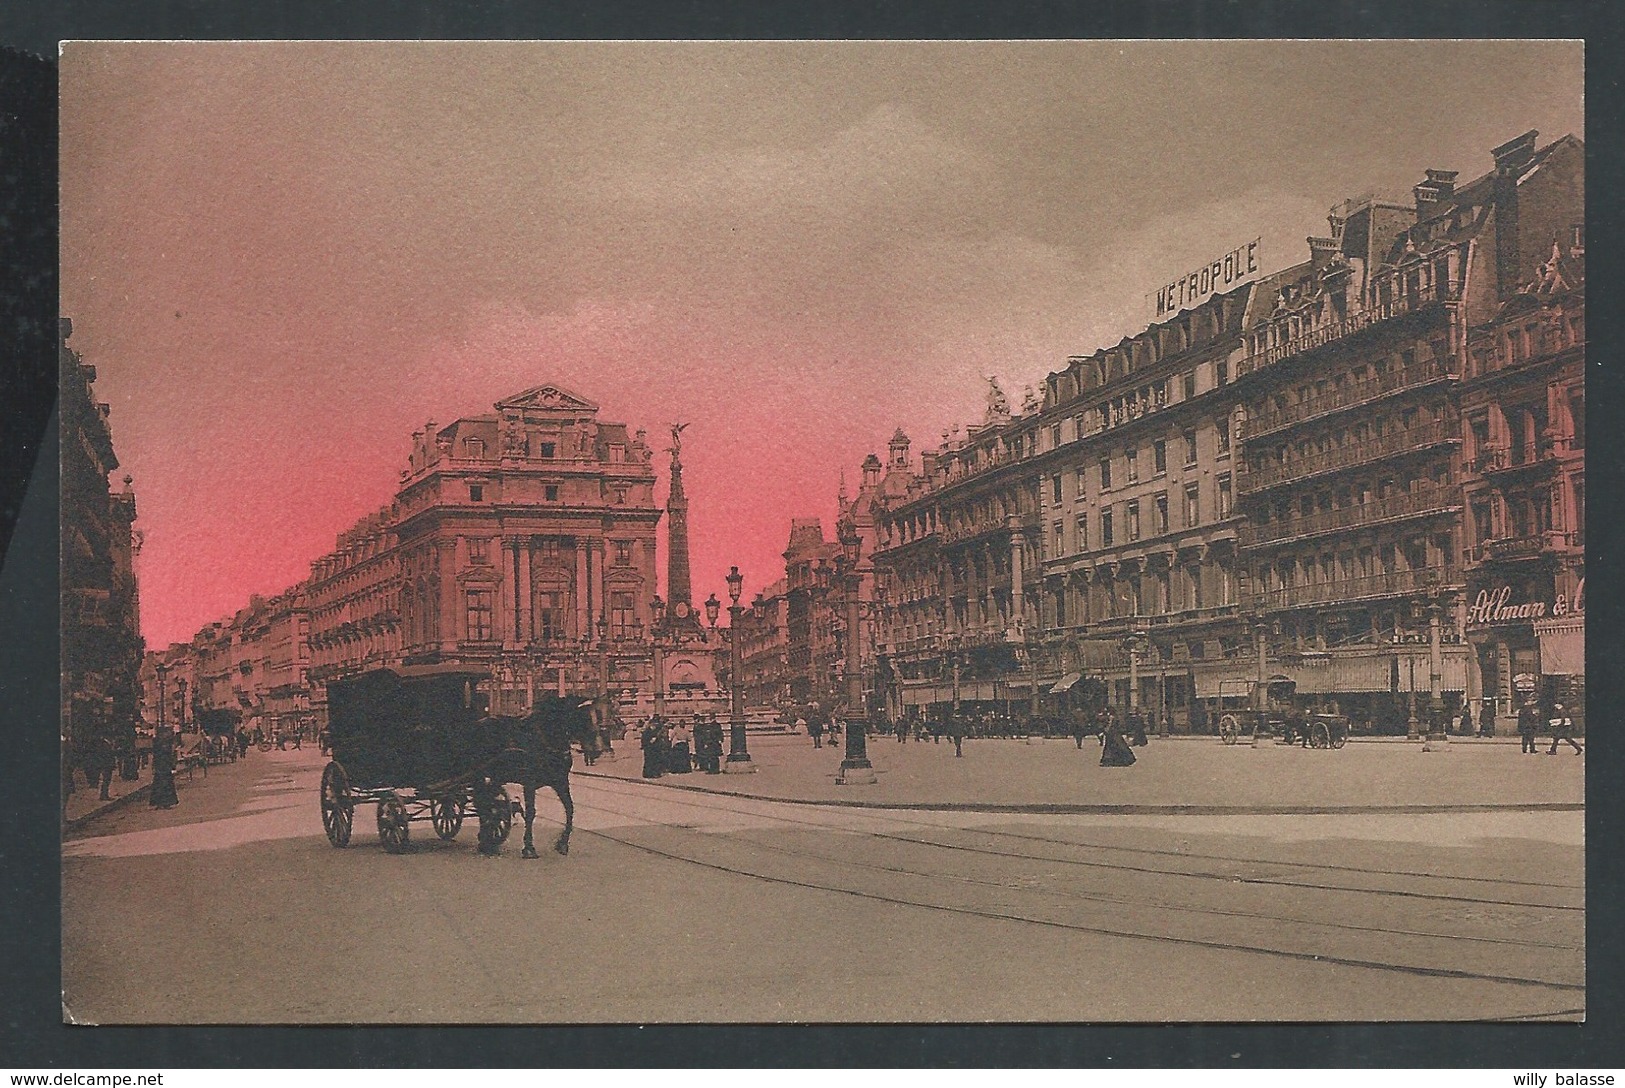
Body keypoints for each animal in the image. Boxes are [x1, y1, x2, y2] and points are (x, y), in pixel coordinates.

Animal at [474, 698, 604, 863]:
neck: (546, 739)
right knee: (481, 802)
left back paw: (487, 840)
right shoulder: (529, 783)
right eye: (583, 717)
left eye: (597, 715)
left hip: (496, 777)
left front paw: (562, 844)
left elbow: (569, 809)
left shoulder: (561, 782)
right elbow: (530, 813)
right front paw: (529, 848)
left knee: (488, 802)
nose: (597, 750)